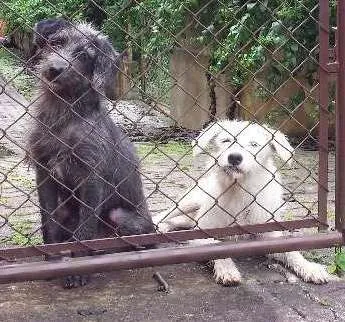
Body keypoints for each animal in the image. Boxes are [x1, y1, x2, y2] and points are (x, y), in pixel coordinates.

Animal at [28, 17, 155, 288]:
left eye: (84, 55)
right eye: (57, 42)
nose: (53, 70)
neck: (64, 115)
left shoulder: (91, 179)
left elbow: (85, 231)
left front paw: (78, 270)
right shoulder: (43, 172)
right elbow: (48, 224)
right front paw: (51, 263)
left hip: (119, 216)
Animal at [154, 120, 330, 284]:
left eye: (254, 144)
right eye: (226, 140)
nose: (234, 157)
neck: (238, 189)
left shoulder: (269, 234)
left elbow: (292, 252)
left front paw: (310, 268)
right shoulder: (202, 233)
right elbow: (216, 246)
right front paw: (227, 269)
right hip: (189, 202)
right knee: (165, 215)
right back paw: (157, 227)